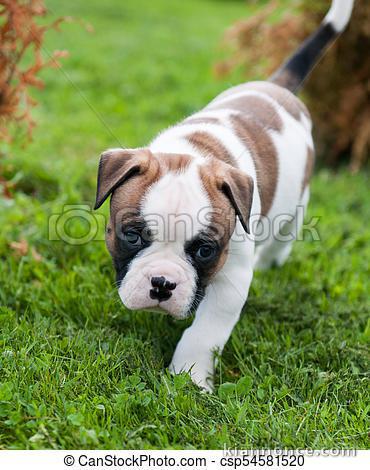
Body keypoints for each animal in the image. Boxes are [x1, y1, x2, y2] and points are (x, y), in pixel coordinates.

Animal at [94, 0, 352, 392]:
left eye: (204, 251)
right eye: (132, 235)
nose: (162, 284)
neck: (192, 152)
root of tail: (277, 86)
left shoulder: (231, 280)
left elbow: (205, 332)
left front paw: (189, 377)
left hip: (297, 203)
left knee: (285, 234)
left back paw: (272, 259)